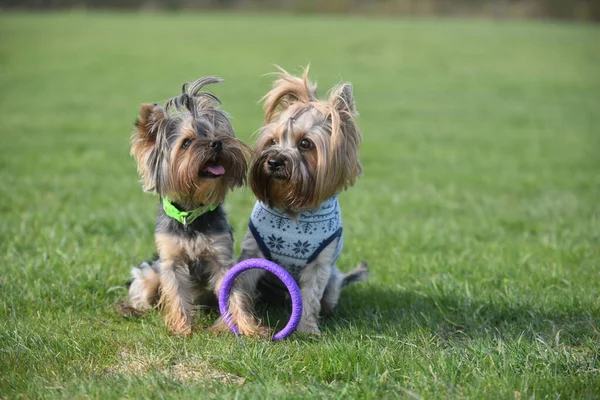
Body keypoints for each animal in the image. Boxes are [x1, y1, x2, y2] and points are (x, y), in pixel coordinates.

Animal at [120, 76, 264, 336]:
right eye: (187, 142)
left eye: (217, 133)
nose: (216, 143)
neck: (191, 212)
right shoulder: (171, 261)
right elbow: (176, 292)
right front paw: (181, 329)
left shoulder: (221, 257)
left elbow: (233, 292)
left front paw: (247, 328)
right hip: (150, 272)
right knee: (143, 289)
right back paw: (133, 309)